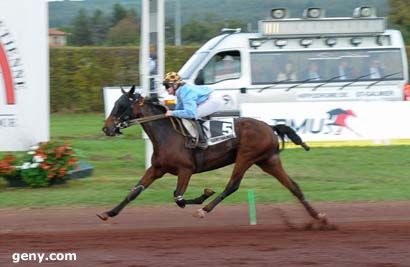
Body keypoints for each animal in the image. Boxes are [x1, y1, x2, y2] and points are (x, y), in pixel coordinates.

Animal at [97, 86, 328, 226]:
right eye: (115, 103)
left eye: (121, 105)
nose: (107, 128)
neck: (167, 134)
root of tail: (270, 127)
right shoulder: (157, 169)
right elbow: (134, 192)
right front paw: (108, 213)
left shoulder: (186, 170)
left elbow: (179, 198)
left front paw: (205, 194)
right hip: (268, 161)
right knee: (293, 186)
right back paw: (319, 217)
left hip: (246, 157)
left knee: (232, 186)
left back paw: (204, 210)